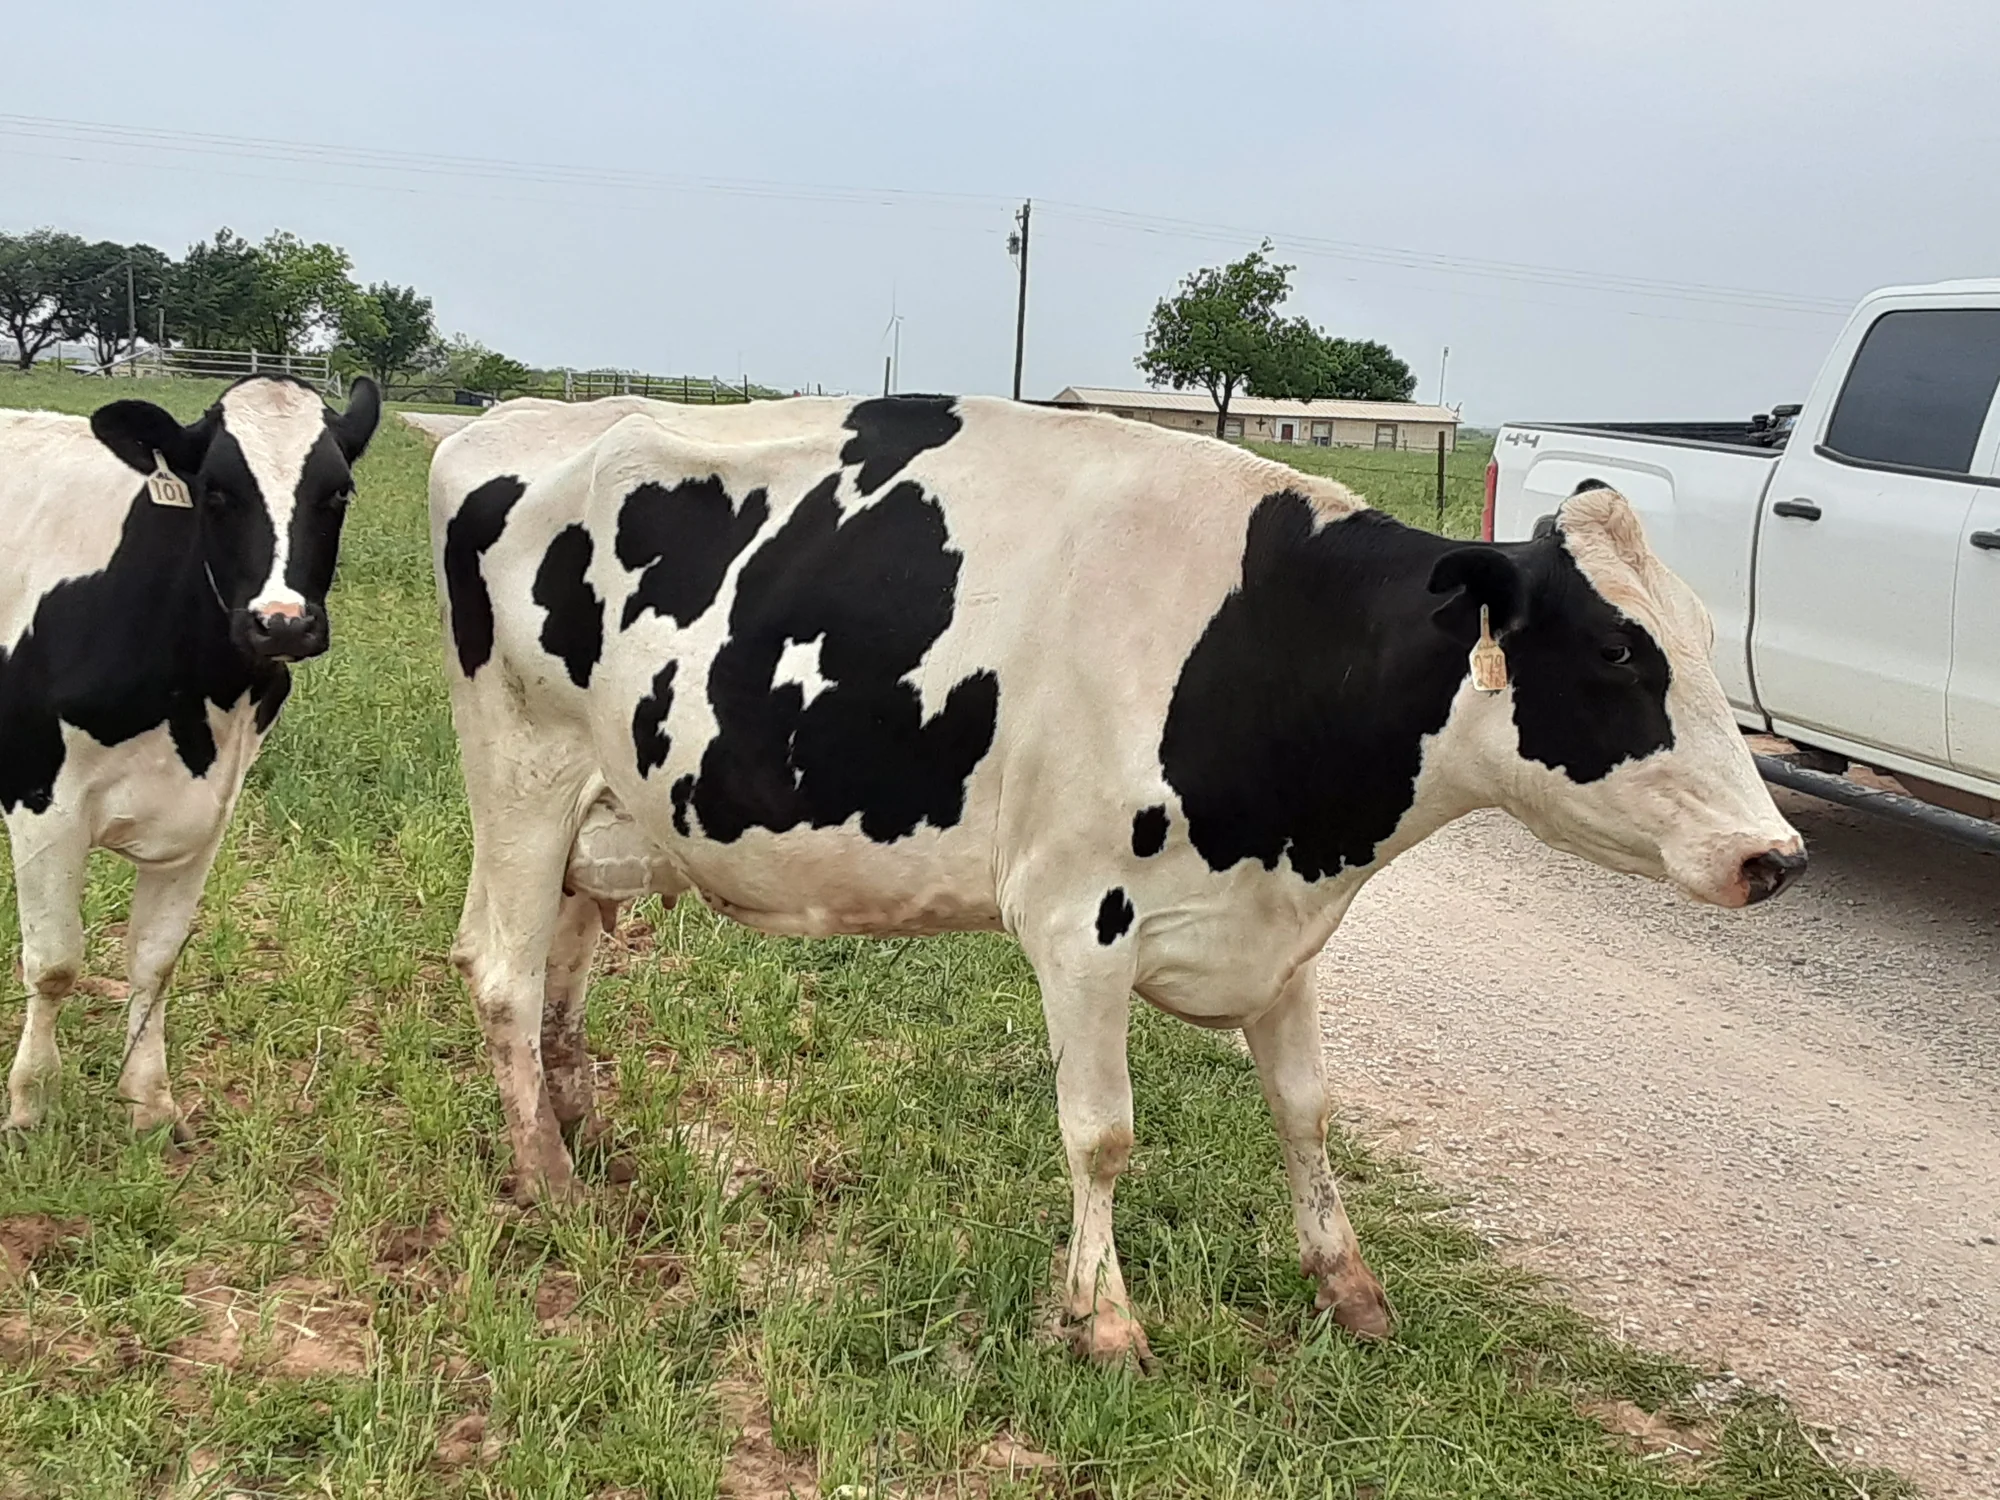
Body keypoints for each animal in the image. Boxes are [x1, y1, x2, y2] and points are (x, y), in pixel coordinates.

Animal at [3, 376, 380, 1139]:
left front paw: (148, 1101)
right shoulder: (41, 800)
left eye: (339, 493)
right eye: (215, 492)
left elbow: (155, 961)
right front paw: (32, 1103)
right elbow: (54, 963)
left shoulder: (209, 808)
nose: (281, 623)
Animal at [428, 394, 1804, 1360]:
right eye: (1618, 653)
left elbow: (1305, 1110)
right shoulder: (1074, 920)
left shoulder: (1281, 937)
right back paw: (547, 1180)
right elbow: (1100, 1134)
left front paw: (1349, 1291)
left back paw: (580, 1119)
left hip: (607, 810)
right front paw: (1104, 1321)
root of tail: (511, 421)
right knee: (499, 969)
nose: (1775, 855)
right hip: (520, 770)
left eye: (1701, 639)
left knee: (567, 959)